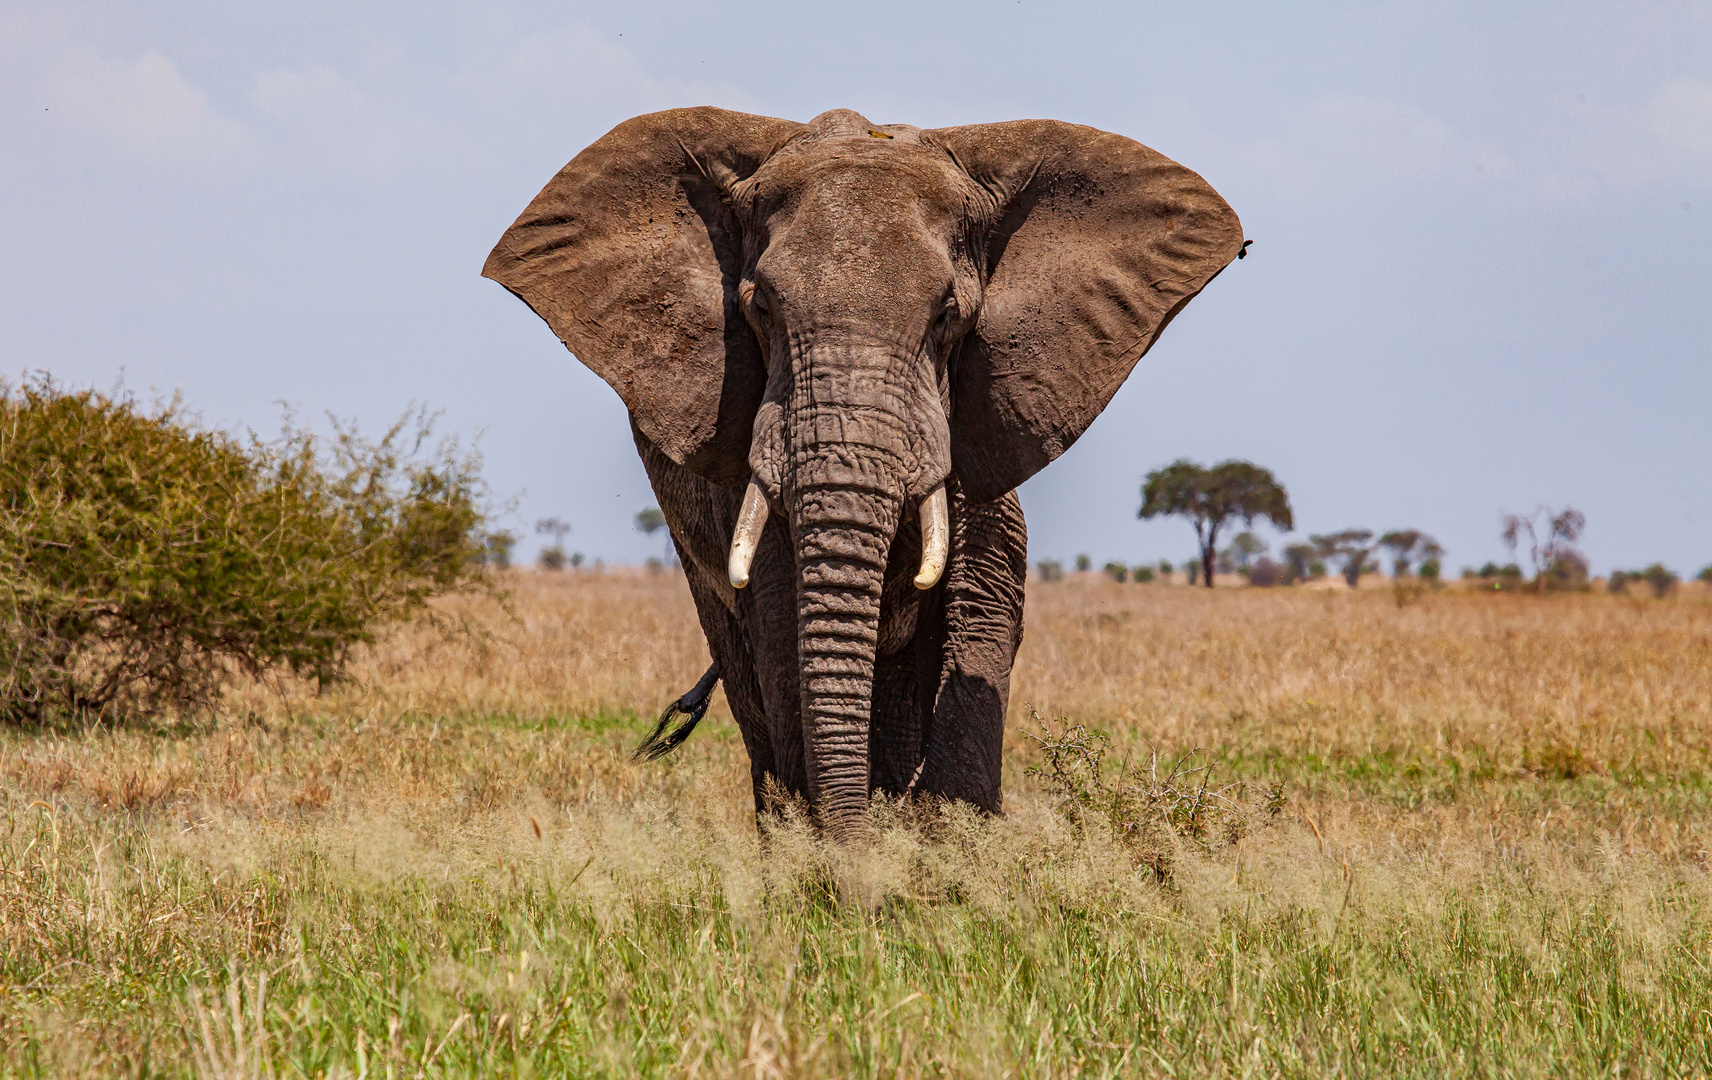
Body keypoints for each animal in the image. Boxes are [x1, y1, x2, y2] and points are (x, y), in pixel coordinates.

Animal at [486, 107, 1246, 835]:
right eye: (760, 309)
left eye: (948, 316)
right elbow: (784, 637)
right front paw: (838, 863)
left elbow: (981, 607)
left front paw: (952, 852)